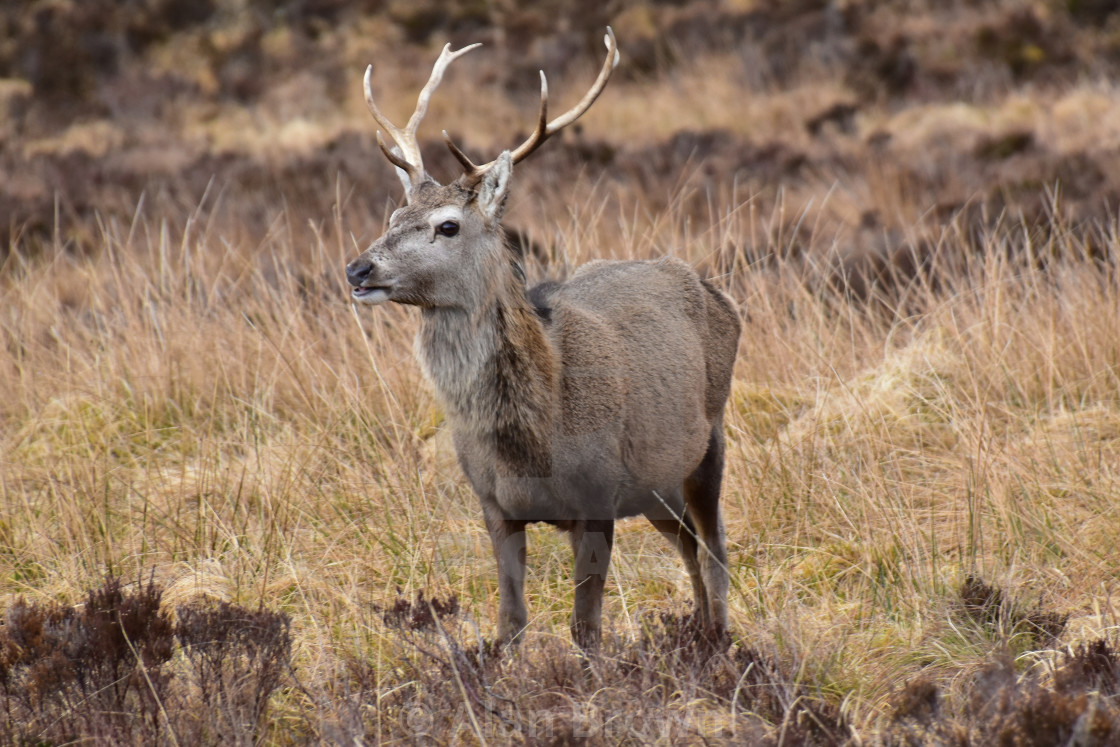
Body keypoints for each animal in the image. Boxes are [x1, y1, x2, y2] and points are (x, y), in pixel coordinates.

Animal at [344, 29, 739, 649]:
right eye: (392, 216)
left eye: (448, 225)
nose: (358, 269)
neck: (533, 437)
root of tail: (713, 289)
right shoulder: (493, 504)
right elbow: (511, 622)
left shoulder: (598, 496)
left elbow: (586, 629)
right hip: (656, 483)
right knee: (688, 542)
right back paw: (696, 632)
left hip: (710, 440)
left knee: (716, 544)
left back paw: (718, 638)